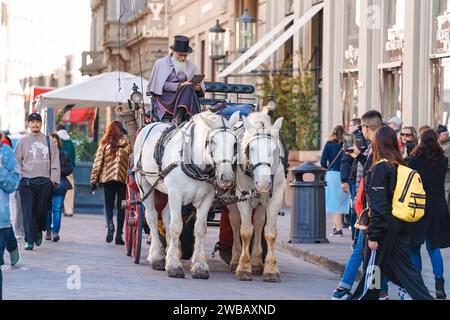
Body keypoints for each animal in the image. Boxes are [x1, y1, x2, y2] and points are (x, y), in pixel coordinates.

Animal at [133, 111, 241, 278]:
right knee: (151, 217)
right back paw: (157, 257)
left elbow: (200, 228)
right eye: (212, 141)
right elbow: (176, 226)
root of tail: (150, 125)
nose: (227, 177)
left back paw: (172, 250)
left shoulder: (206, 198)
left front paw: (199, 266)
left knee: (165, 215)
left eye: (234, 143)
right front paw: (174, 266)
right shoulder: (175, 194)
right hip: (144, 184)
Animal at [227, 111, 286, 282]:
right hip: (233, 201)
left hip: (260, 202)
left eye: (274, 150)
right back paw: (236, 259)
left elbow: (270, 233)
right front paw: (243, 268)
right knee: (235, 222)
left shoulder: (276, 197)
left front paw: (270, 269)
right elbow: (246, 231)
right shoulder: (243, 198)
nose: (264, 184)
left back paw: (256, 262)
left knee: (259, 223)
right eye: (251, 149)